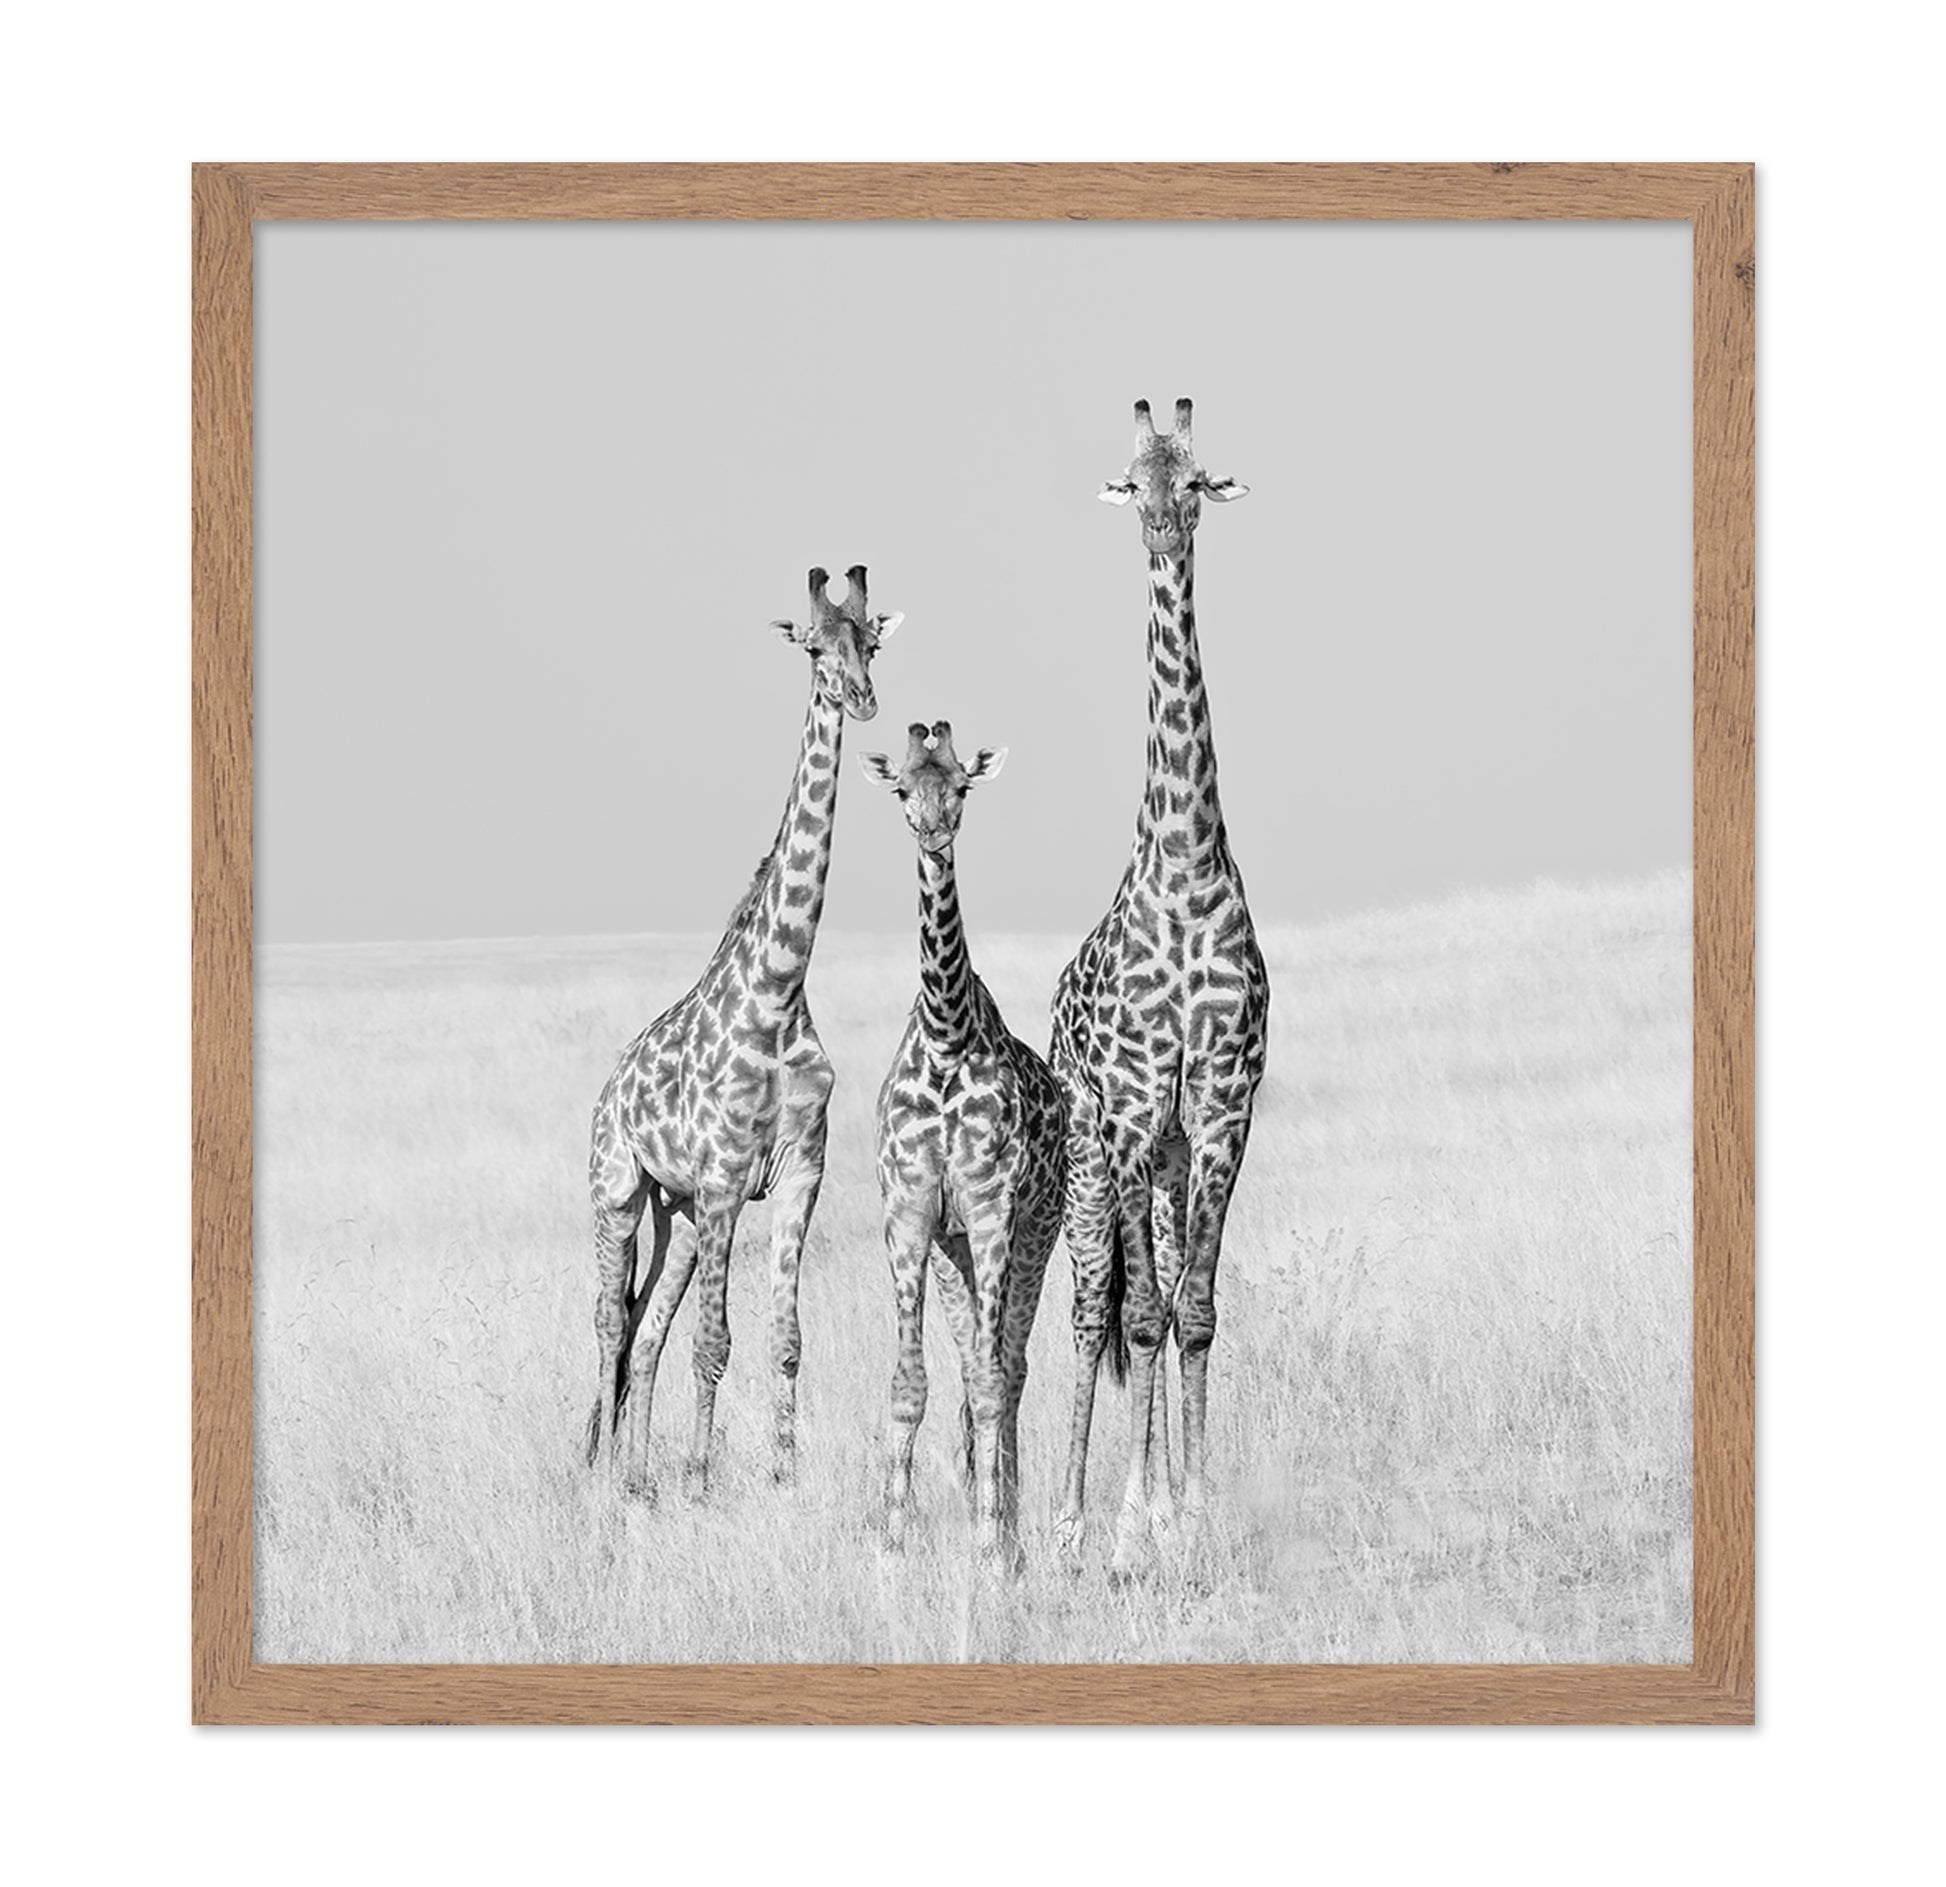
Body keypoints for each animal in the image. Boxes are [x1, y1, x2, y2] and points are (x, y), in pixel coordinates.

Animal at [584, 564, 902, 1499]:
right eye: (813, 646)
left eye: (872, 640)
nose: (862, 697)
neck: (779, 989)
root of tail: (608, 1089)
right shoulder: (727, 1179)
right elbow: (715, 1339)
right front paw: (699, 1476)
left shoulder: (798, 1172)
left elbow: (784, 1338)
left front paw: (780, 1474)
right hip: (620, 1191)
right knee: (610, 1324)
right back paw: (608, 1473)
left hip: (679, 1212)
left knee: (645, 1327)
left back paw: (636, 1475)